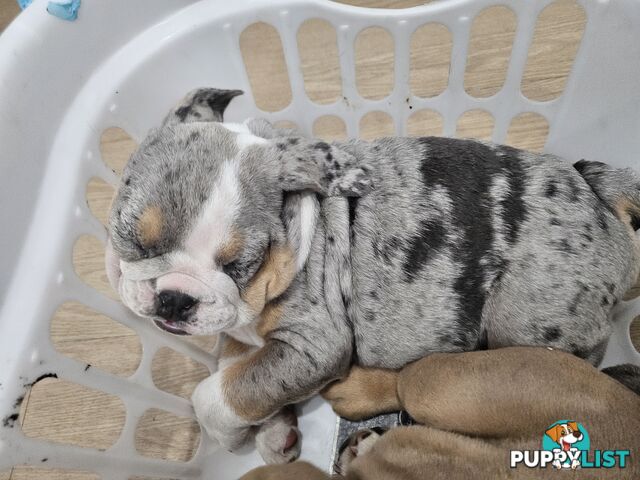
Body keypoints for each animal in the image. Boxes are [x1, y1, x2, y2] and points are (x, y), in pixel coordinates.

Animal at [106, 88, 640, 464]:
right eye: (131, 236)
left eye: (241, 264)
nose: (175, 298)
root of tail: (600, 203)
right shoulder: (244, 332)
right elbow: (236, 366)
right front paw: (275, 432)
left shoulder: (313, 345)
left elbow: (221, 391)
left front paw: (231, 432)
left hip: (525, 326)